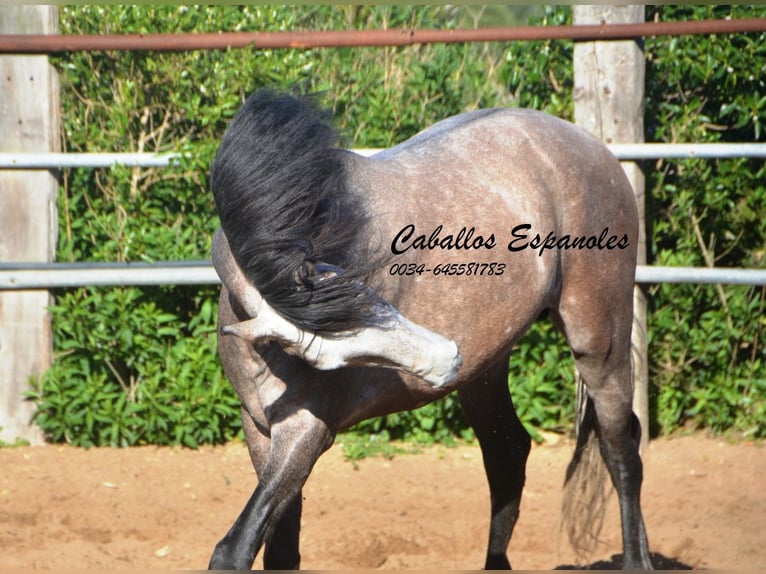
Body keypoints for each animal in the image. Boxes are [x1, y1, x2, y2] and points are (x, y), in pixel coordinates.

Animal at [206, 89, 656, 572]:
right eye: (339, 348)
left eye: (370, 297)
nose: (447, 360)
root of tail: (596, 150)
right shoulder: (259, 428)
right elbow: (277, 549)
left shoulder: (309, 428)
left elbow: (235, 548)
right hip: (487, 369)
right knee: (509, 455)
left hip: (599, 340)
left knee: (621, 453)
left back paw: (637, 560)